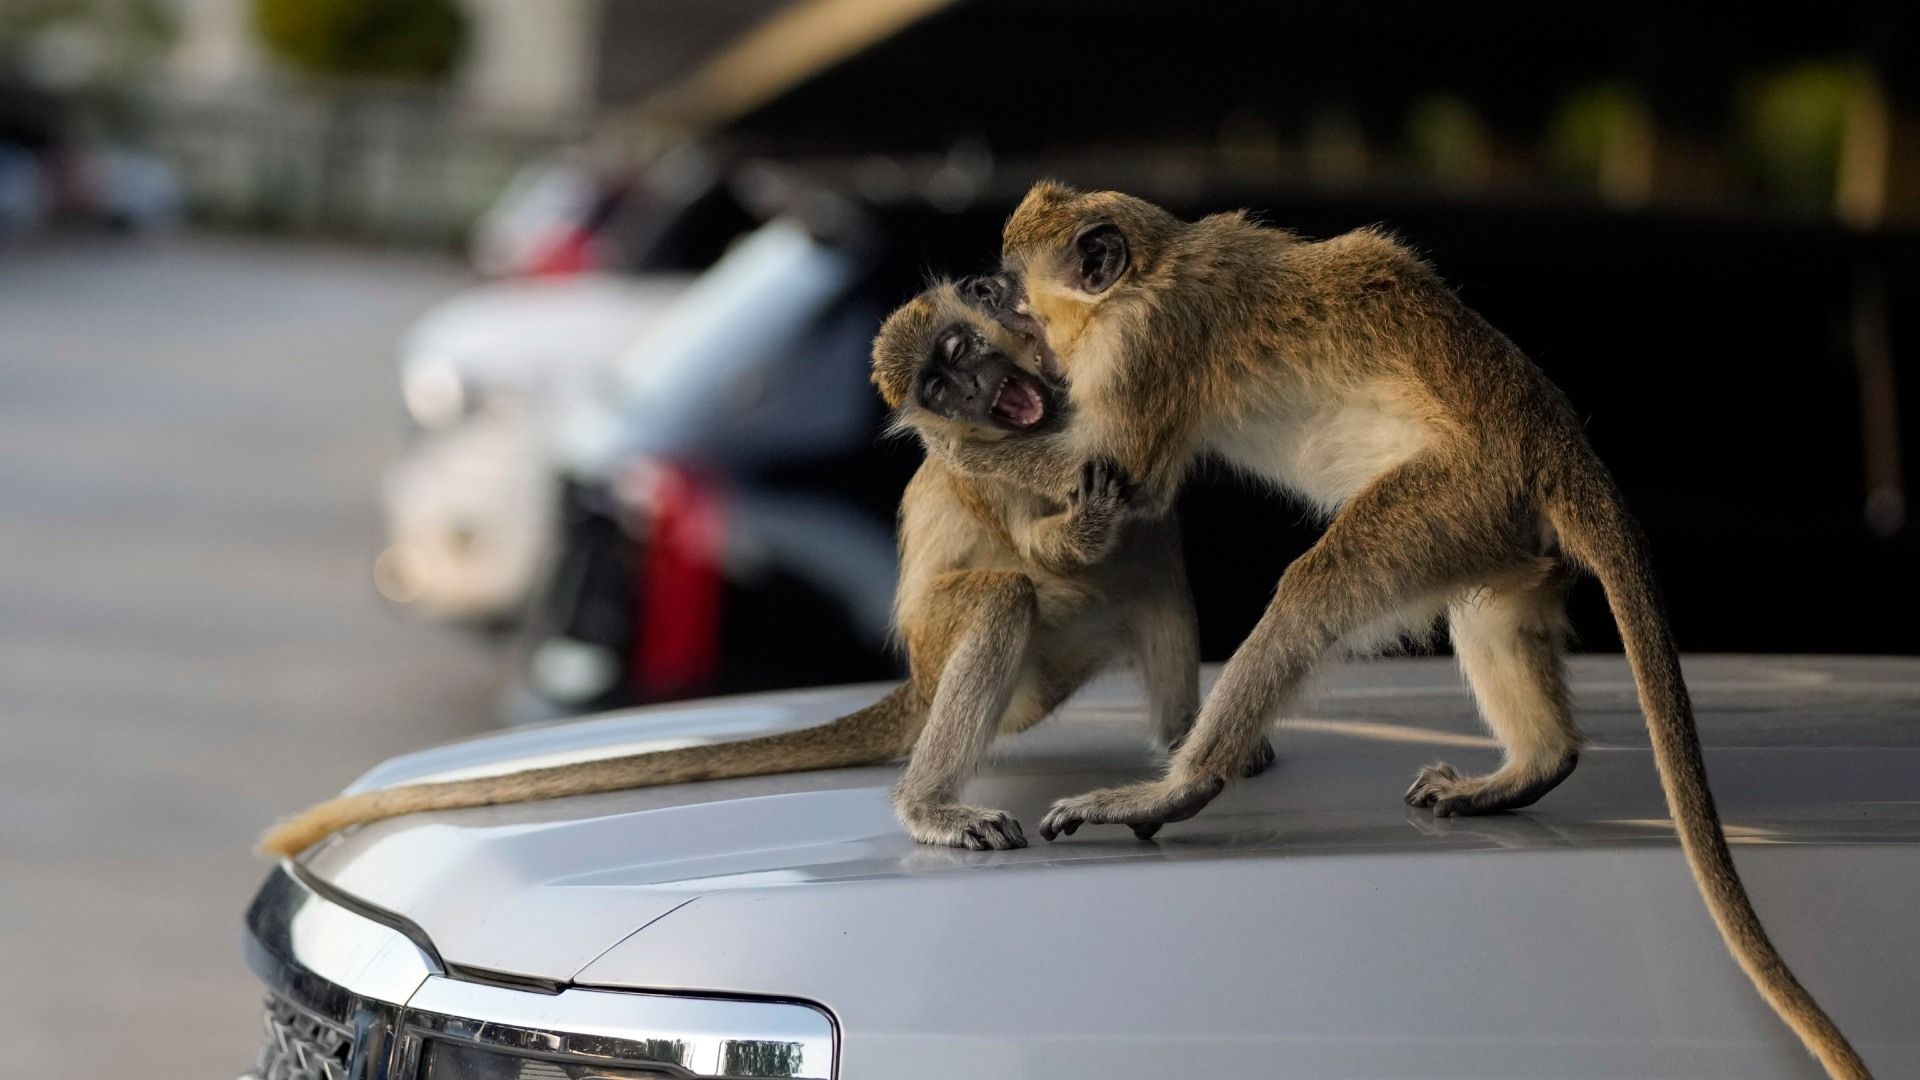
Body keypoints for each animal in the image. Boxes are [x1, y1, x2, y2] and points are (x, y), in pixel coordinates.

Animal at [259, 280, 1266, 857]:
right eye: (941, 389)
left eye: (962, 353)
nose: (982, 392)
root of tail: (921, 681)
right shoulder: (988, 464)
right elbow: (1036, 545)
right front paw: (1079, 517)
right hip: (988, 661)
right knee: (1004, 596)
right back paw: (931, 804)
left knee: (1154, 563)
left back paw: (1184, 745)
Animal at [937, 182, 1865, 1078]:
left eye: (1011, 288)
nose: (977, 287)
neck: (1151, 271)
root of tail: (1556, 441)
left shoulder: (1144, 348)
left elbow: (1116, 475)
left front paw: (941, 435)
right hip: (1495, 525)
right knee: (1487, 615)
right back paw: (1532, 767)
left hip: (1458, 493)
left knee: (1316, 591)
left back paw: (1183, 787)